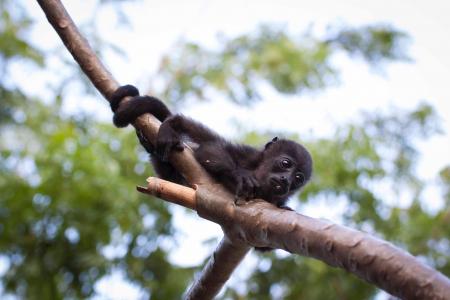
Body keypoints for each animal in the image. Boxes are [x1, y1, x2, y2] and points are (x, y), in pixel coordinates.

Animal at [110, 84, 312, 206]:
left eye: (298, 178)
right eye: (285, 163)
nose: (286, 180)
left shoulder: (278, 202)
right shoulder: (248, 155)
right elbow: (210, 149)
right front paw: (239, 176)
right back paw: (172, 124)